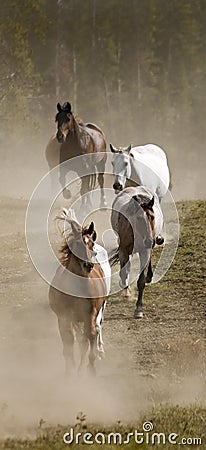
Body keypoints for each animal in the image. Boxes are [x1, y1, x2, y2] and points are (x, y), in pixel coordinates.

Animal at [49, 211, 111, 376]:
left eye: (91, 244)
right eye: (77, 244)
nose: (88, 265)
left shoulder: (90, 314)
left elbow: (90, 336)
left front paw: (90, 369)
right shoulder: (63, 317)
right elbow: (68, 342)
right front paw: (70, 371)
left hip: (99, 309)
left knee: (94, 331)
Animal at [110, 186, 163, 320]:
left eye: (152, 217)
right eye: (139, 218)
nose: (150, 241)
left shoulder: (145, 251)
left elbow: (141, 280)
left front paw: (139, 309)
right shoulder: (123, 250)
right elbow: (124, 272)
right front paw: (126, 292)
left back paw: (149, 276)